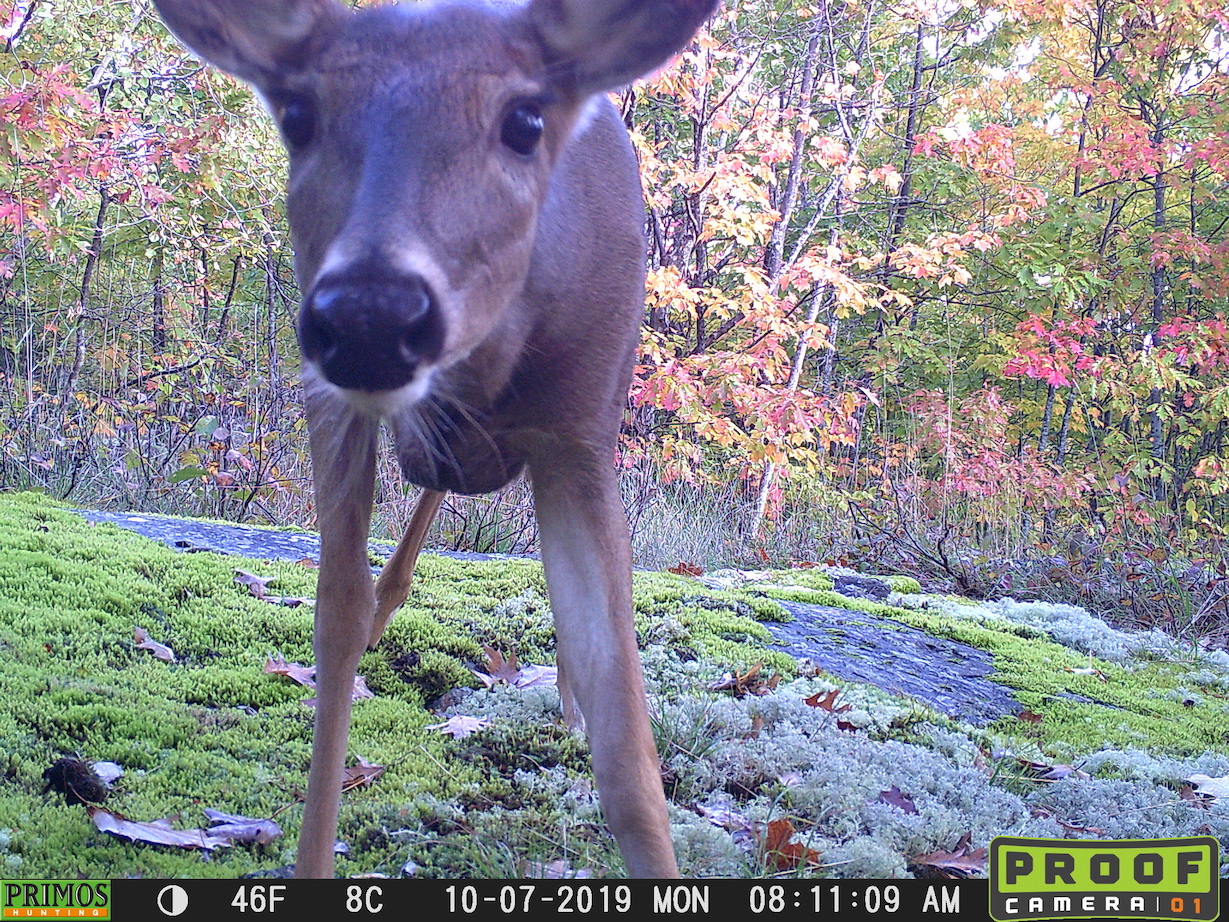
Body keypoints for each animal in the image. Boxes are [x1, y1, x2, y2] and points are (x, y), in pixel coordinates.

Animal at [151, 0, 717, 880]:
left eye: (524, 121)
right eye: (298, 114)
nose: (369, 317)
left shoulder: (582, 432)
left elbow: (626, 737)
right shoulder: (330, 400)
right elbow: (337, 610)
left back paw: (565, 698)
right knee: (407, 539)